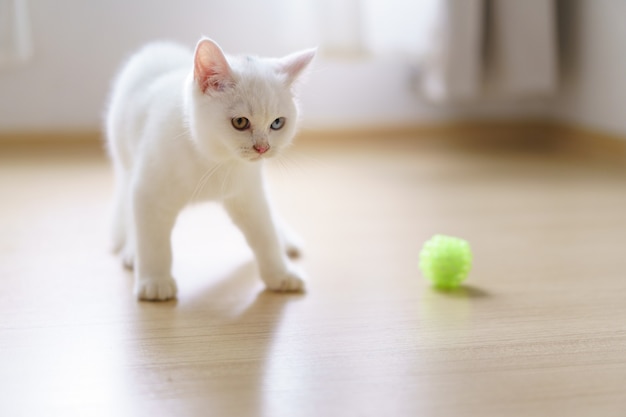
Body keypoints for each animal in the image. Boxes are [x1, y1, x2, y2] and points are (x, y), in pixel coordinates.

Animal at [105, 38, 316, 300]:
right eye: (240, 122)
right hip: (125, 162)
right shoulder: (149, 191)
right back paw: (133, 252)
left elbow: (265, 233)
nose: (262, 148)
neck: (215, 160)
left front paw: (280, 274)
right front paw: (155, 282)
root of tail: (159, 47)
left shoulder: (248, 193)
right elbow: (153, 240)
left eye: (277, 123)